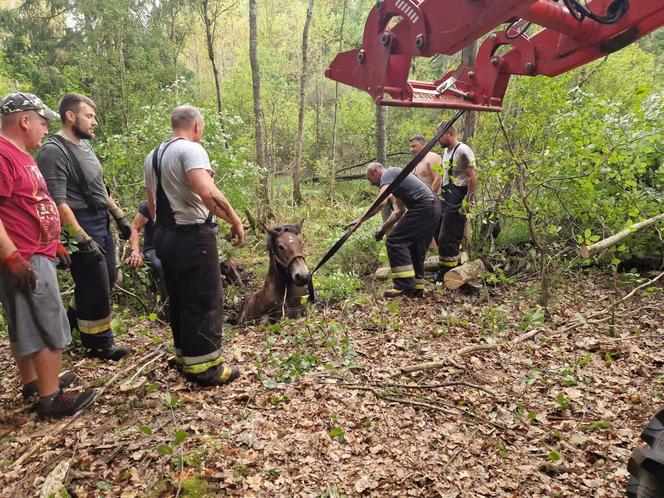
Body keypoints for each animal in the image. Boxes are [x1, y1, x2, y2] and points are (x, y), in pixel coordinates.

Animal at [308, 110, 466, 304]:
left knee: (398, 242)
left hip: (420, 217)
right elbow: (398, 209)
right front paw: (372, 229)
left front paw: (364, 225)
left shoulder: (387, 180)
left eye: (371, 177)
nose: (370, 182)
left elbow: (382, 201)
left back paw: (401, 287)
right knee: (418, 250)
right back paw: (417, 288)